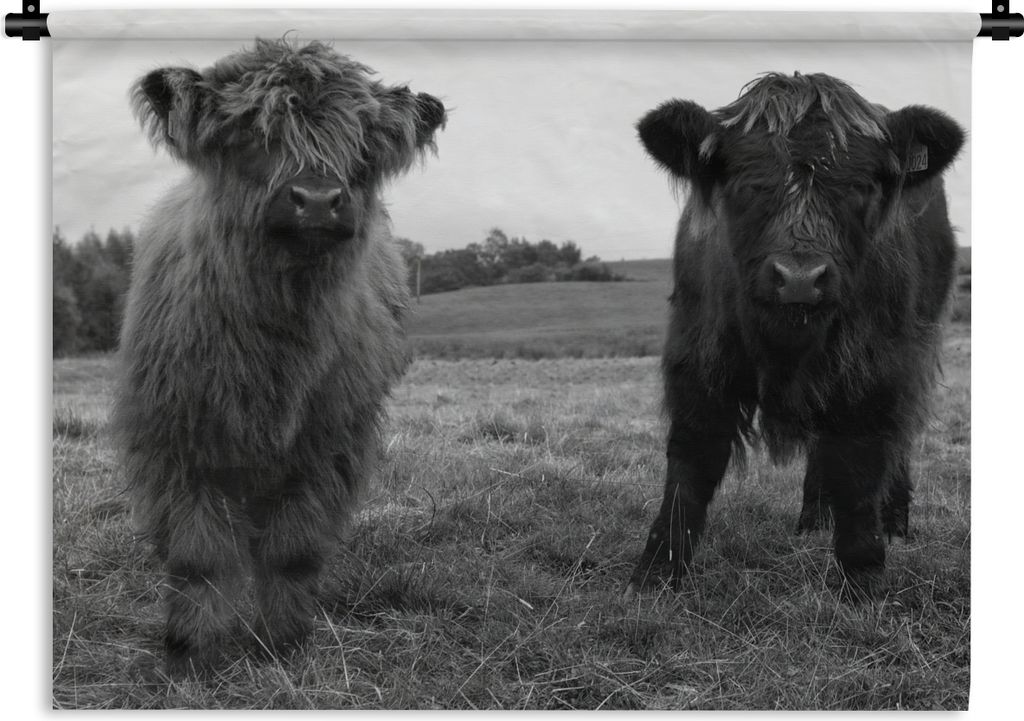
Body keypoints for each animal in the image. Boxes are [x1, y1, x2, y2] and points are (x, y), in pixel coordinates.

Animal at [111, 39, 446, 672]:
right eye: (251, 134)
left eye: (361, 146)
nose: (317, 200)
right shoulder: (174, 440)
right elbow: (198, 555)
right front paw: (192, 649)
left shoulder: (328, 444)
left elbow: (293, 548)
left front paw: (284, 640)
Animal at [624, 72, 964, 598]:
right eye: (747, 183)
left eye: (860, 186)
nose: (800, 278)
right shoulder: (698, 360)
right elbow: (690, 463)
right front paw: (659, 569)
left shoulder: (874, 370)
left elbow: (860, 466)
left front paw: (862, 575)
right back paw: (813, 517)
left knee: (897, 439)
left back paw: (894, 520)